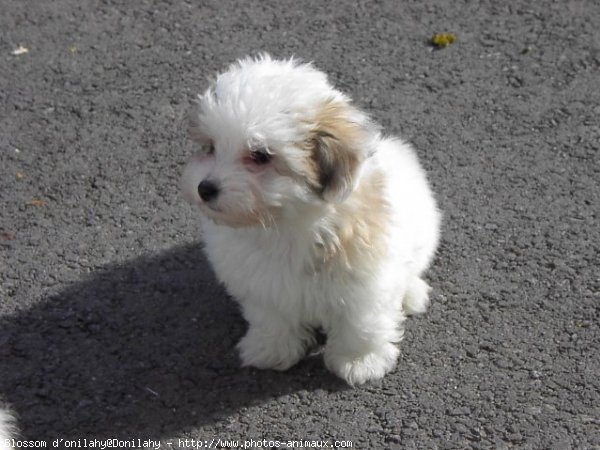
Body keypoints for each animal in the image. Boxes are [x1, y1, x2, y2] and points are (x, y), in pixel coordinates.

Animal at [180, 54, 438, 384]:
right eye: (210, 147)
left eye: (260, 155)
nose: (205, 188)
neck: (285, 223)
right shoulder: (263, 283)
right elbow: (272, 317)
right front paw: (271, 349)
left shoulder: (366, 280)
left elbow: (361, 322)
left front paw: (360, 361)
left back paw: (412, 293)